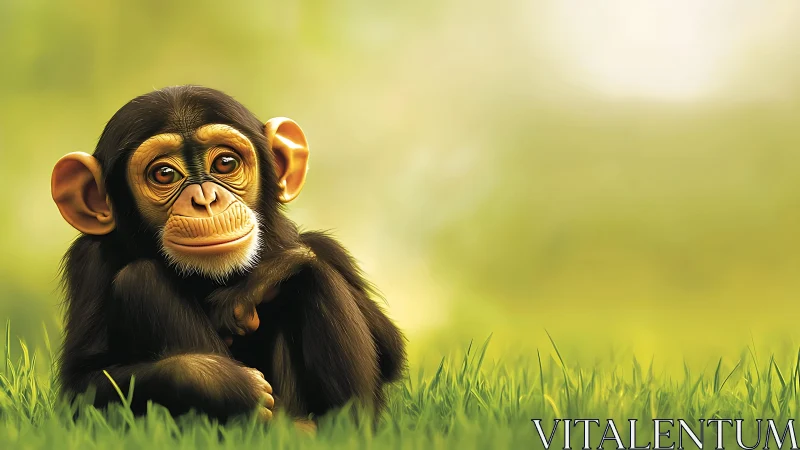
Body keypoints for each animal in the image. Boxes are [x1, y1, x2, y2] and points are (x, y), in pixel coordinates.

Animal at [50, 85, 407, 425]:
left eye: (225, 163)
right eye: (164, 173)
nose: (205, 200)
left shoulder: (323, 246)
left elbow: (389, 348)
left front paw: (256, 283)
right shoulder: (88, 262)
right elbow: (83, 385)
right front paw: (220, 380)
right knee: (141, 278)